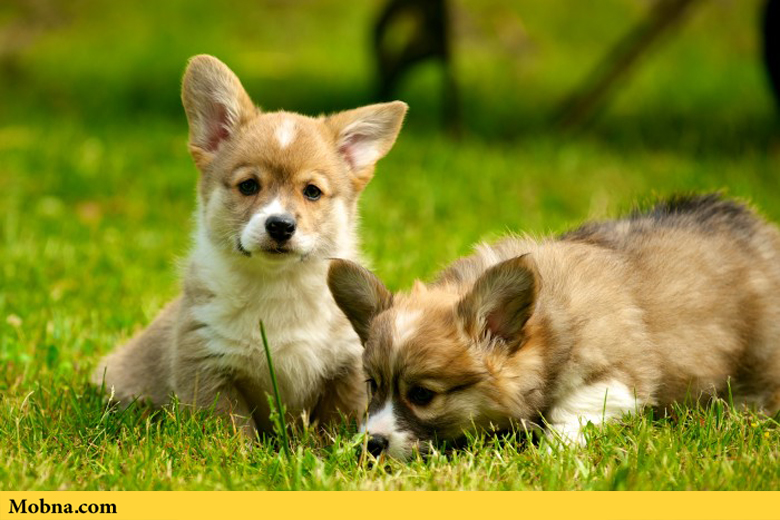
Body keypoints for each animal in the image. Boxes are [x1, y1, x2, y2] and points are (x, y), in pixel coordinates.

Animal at [93, 55, 407, 438]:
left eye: (312, 191)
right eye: (248, 186)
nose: (280, 225)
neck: (277, 285)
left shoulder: (346, 366)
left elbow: (337, 418)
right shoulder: (208, 366)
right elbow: (231, 428)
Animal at [328, 194, 780, 459]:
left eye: (422, 395)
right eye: (372, 385)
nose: (371, 445)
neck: (548, 320)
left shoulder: (619, 375)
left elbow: (574, 408)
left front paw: (551, 454)